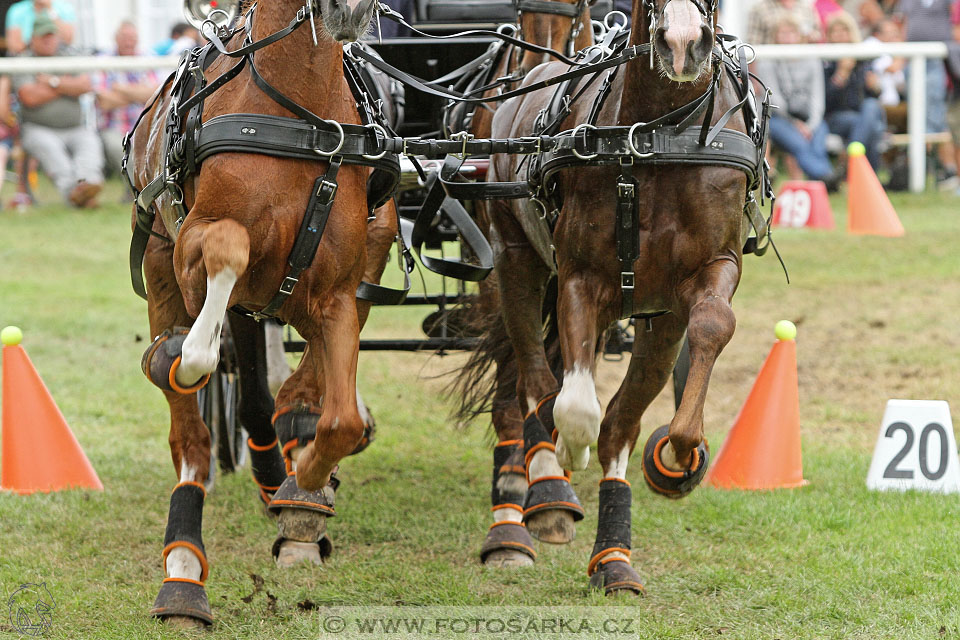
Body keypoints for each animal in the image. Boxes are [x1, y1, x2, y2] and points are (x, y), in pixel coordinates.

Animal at [127, 0, 386, 624]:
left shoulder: (336, 294)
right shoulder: (194, 247)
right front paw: (186, 355)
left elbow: (339, 420)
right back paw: (183, 573)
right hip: (159, 262)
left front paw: (303, 498)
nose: (350, 10)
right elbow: (228, 249)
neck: (299, 109)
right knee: (189, 436)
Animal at [460, 0, 756, 592]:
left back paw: (613, 558)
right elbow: (572, 407)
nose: (683, 43)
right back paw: (534, 499)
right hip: (514, 261)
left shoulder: (703, 277)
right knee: (529, 381)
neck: (658, 134)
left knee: (614, 421)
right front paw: (557, 470)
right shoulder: (580, 278)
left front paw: (681, 451)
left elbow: (711, 326)